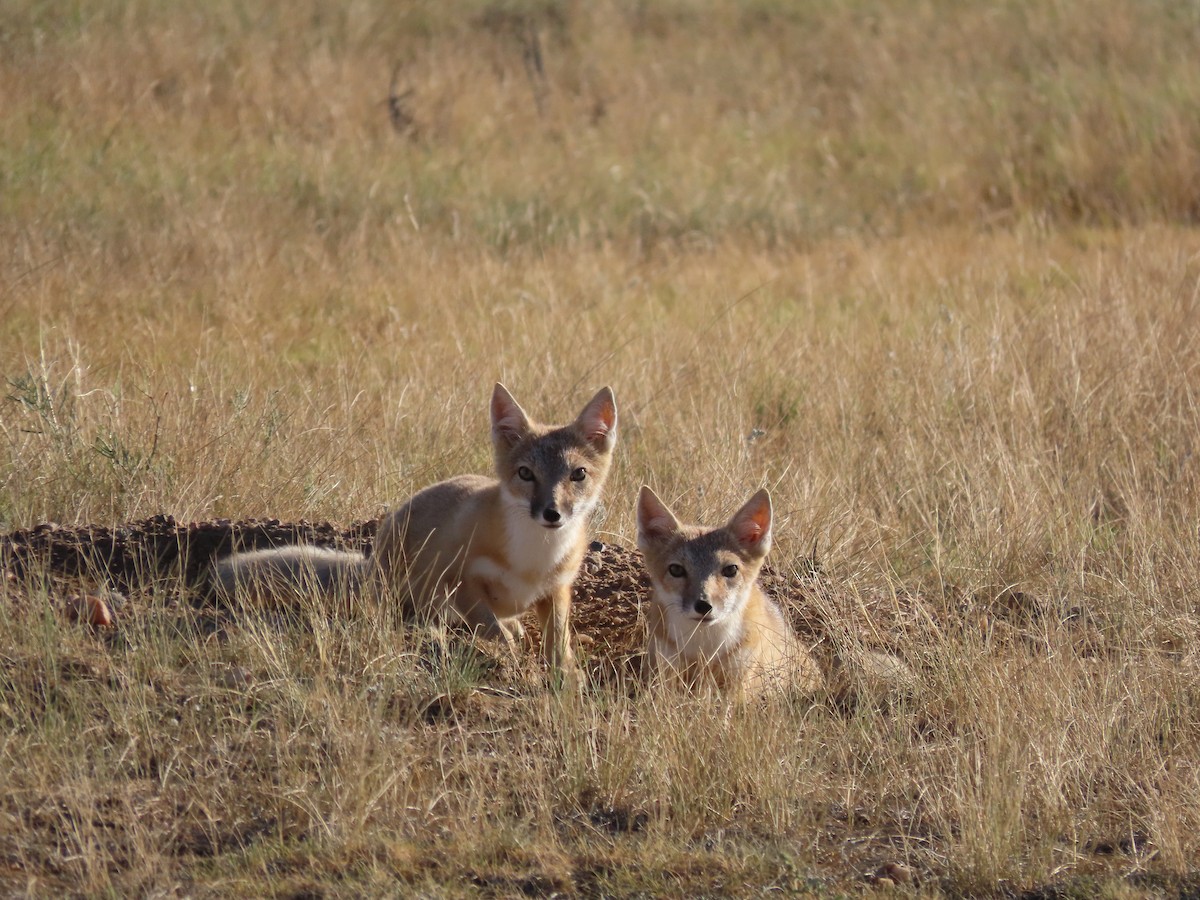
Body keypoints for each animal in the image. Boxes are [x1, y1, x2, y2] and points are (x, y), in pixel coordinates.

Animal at [212, 384, 618, 673]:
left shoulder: (558, 588)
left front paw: (565, 676)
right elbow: (490, 629)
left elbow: (557, 639)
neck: (534, 558)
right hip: (412, 587)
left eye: (578, 474)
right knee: (418, 617)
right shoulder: (459, 579)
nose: (552, 513)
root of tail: (371, 561)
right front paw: (512, 662)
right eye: (525, 474)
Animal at [636, 485, 824, 697]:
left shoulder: (739, 682)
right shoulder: (663, 668)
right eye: (676, 570)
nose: (704, 605)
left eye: (730, 570)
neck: (704, 649)